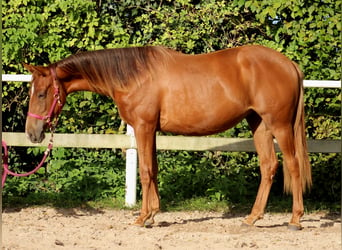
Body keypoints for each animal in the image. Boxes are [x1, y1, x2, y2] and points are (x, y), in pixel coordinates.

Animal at [25, 45, 312, 230]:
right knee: (269, 166)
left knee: (293, 165)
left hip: (280, 126)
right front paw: (153, 214)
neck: (133, 77)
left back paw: (295, 219)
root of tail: (290, 64)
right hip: (259, 124)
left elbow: (144, 171)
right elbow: (153, 169)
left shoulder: (143, 127)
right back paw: (252, 218)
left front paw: (142, 218)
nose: (32, 133)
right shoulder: (151, 130)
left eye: (42, 93)